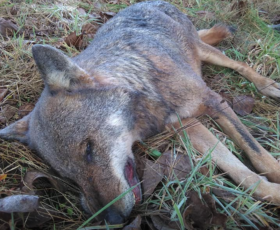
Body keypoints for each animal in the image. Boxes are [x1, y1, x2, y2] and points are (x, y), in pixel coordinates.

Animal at [0, 0, 280, 225]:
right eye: (66, 175)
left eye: (89, 149)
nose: (112, 220)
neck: (146, 88)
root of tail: (150, 1)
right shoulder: (185, 125)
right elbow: (238, 170)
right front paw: (270, 191)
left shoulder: (215, 102)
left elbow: (257, 154)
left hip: (206, 52)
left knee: (238, 64)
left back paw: (267, 85)